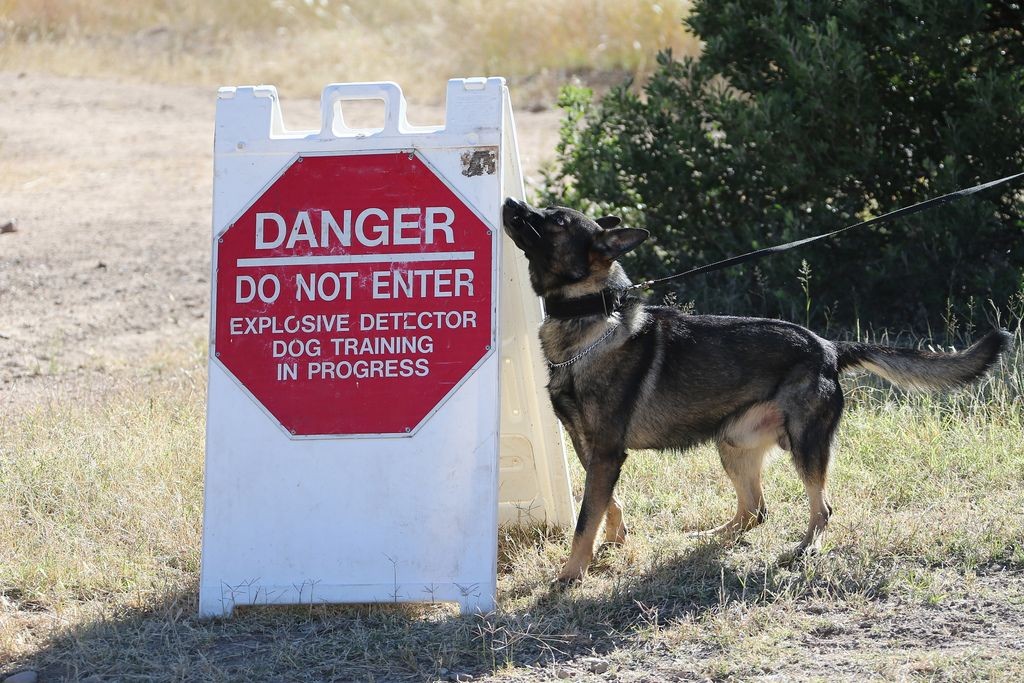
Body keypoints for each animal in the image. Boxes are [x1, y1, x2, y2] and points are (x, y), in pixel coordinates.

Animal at [499, 196, 1011, 581]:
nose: (510, 203)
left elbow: (586, 517)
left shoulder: (606, 452)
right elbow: (605, 505)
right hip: (732, 443)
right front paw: (613, 541)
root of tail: (828, 347)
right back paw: (710, 537)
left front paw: (570, 574)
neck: (590, 315)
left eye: (556, 220)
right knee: (755, 510)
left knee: (821, 507)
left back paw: (806, 549)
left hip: (805, 447)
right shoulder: (591, 450)